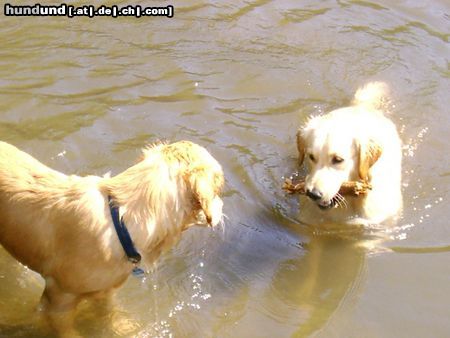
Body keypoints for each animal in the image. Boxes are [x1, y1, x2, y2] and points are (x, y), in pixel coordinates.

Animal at [0, 140, 224, 336]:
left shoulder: (106, 291)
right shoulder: (58, 299)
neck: (122, 222)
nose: (222, 207)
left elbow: (109, 315)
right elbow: (65, 329)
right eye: (219, 186)